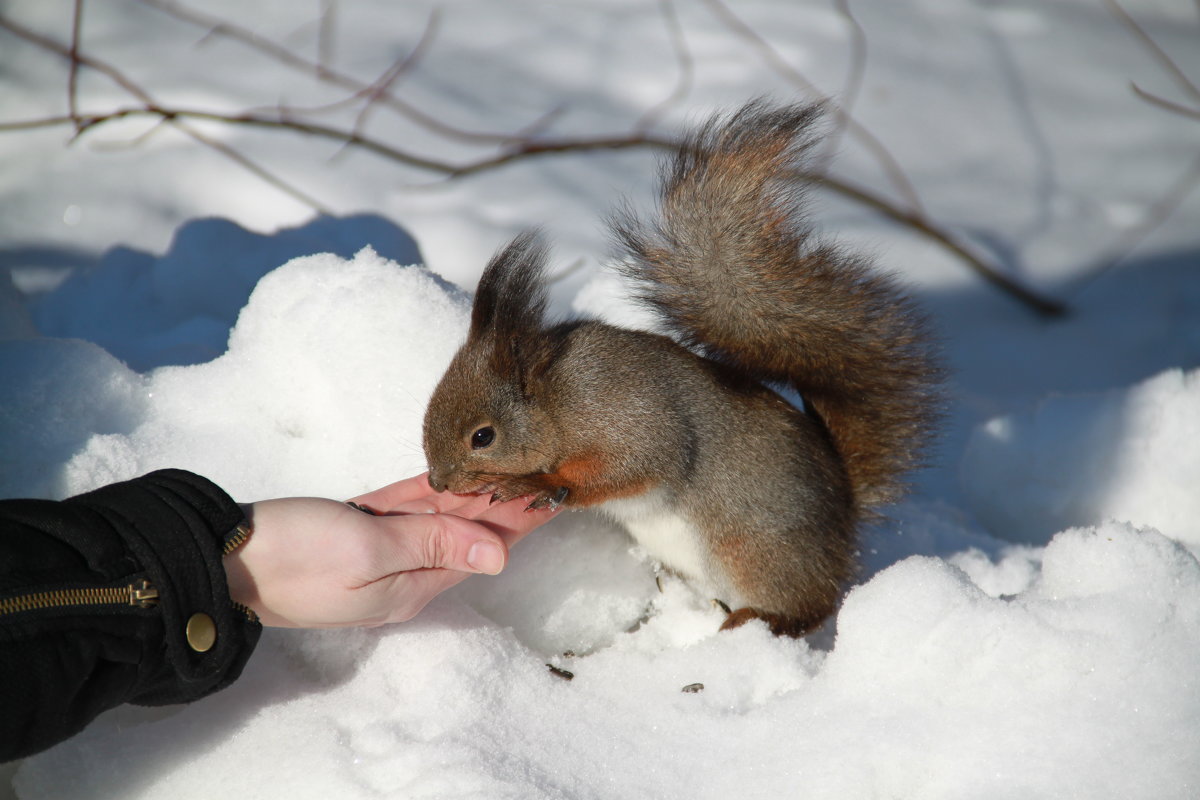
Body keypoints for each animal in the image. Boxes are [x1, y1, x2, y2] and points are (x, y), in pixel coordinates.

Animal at [427, 101, 940, 638]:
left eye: (483, 436)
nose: (437, 483)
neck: (558, 400)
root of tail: (845, 518)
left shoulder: (631, 418)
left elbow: (630, 468)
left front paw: (540, 483)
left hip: (760, 554)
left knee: (811, 606)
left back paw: (756, 620)